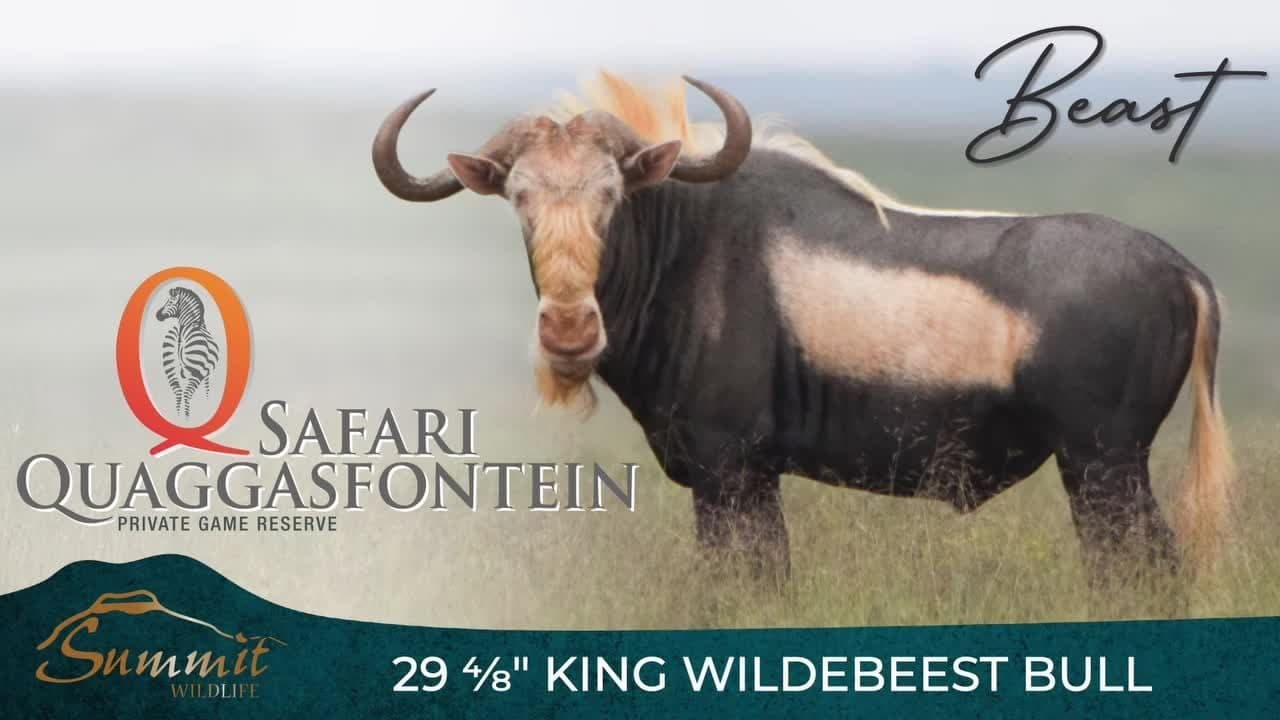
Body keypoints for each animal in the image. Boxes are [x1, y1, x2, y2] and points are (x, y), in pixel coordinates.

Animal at [371, 72, 1234, 589]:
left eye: (612, 194)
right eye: (518, 197)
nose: (570, 333)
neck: (689, 247)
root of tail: (1180, 267)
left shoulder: (731, 473)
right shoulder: (737, 479)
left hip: (1103, 467)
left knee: (1145, 570)